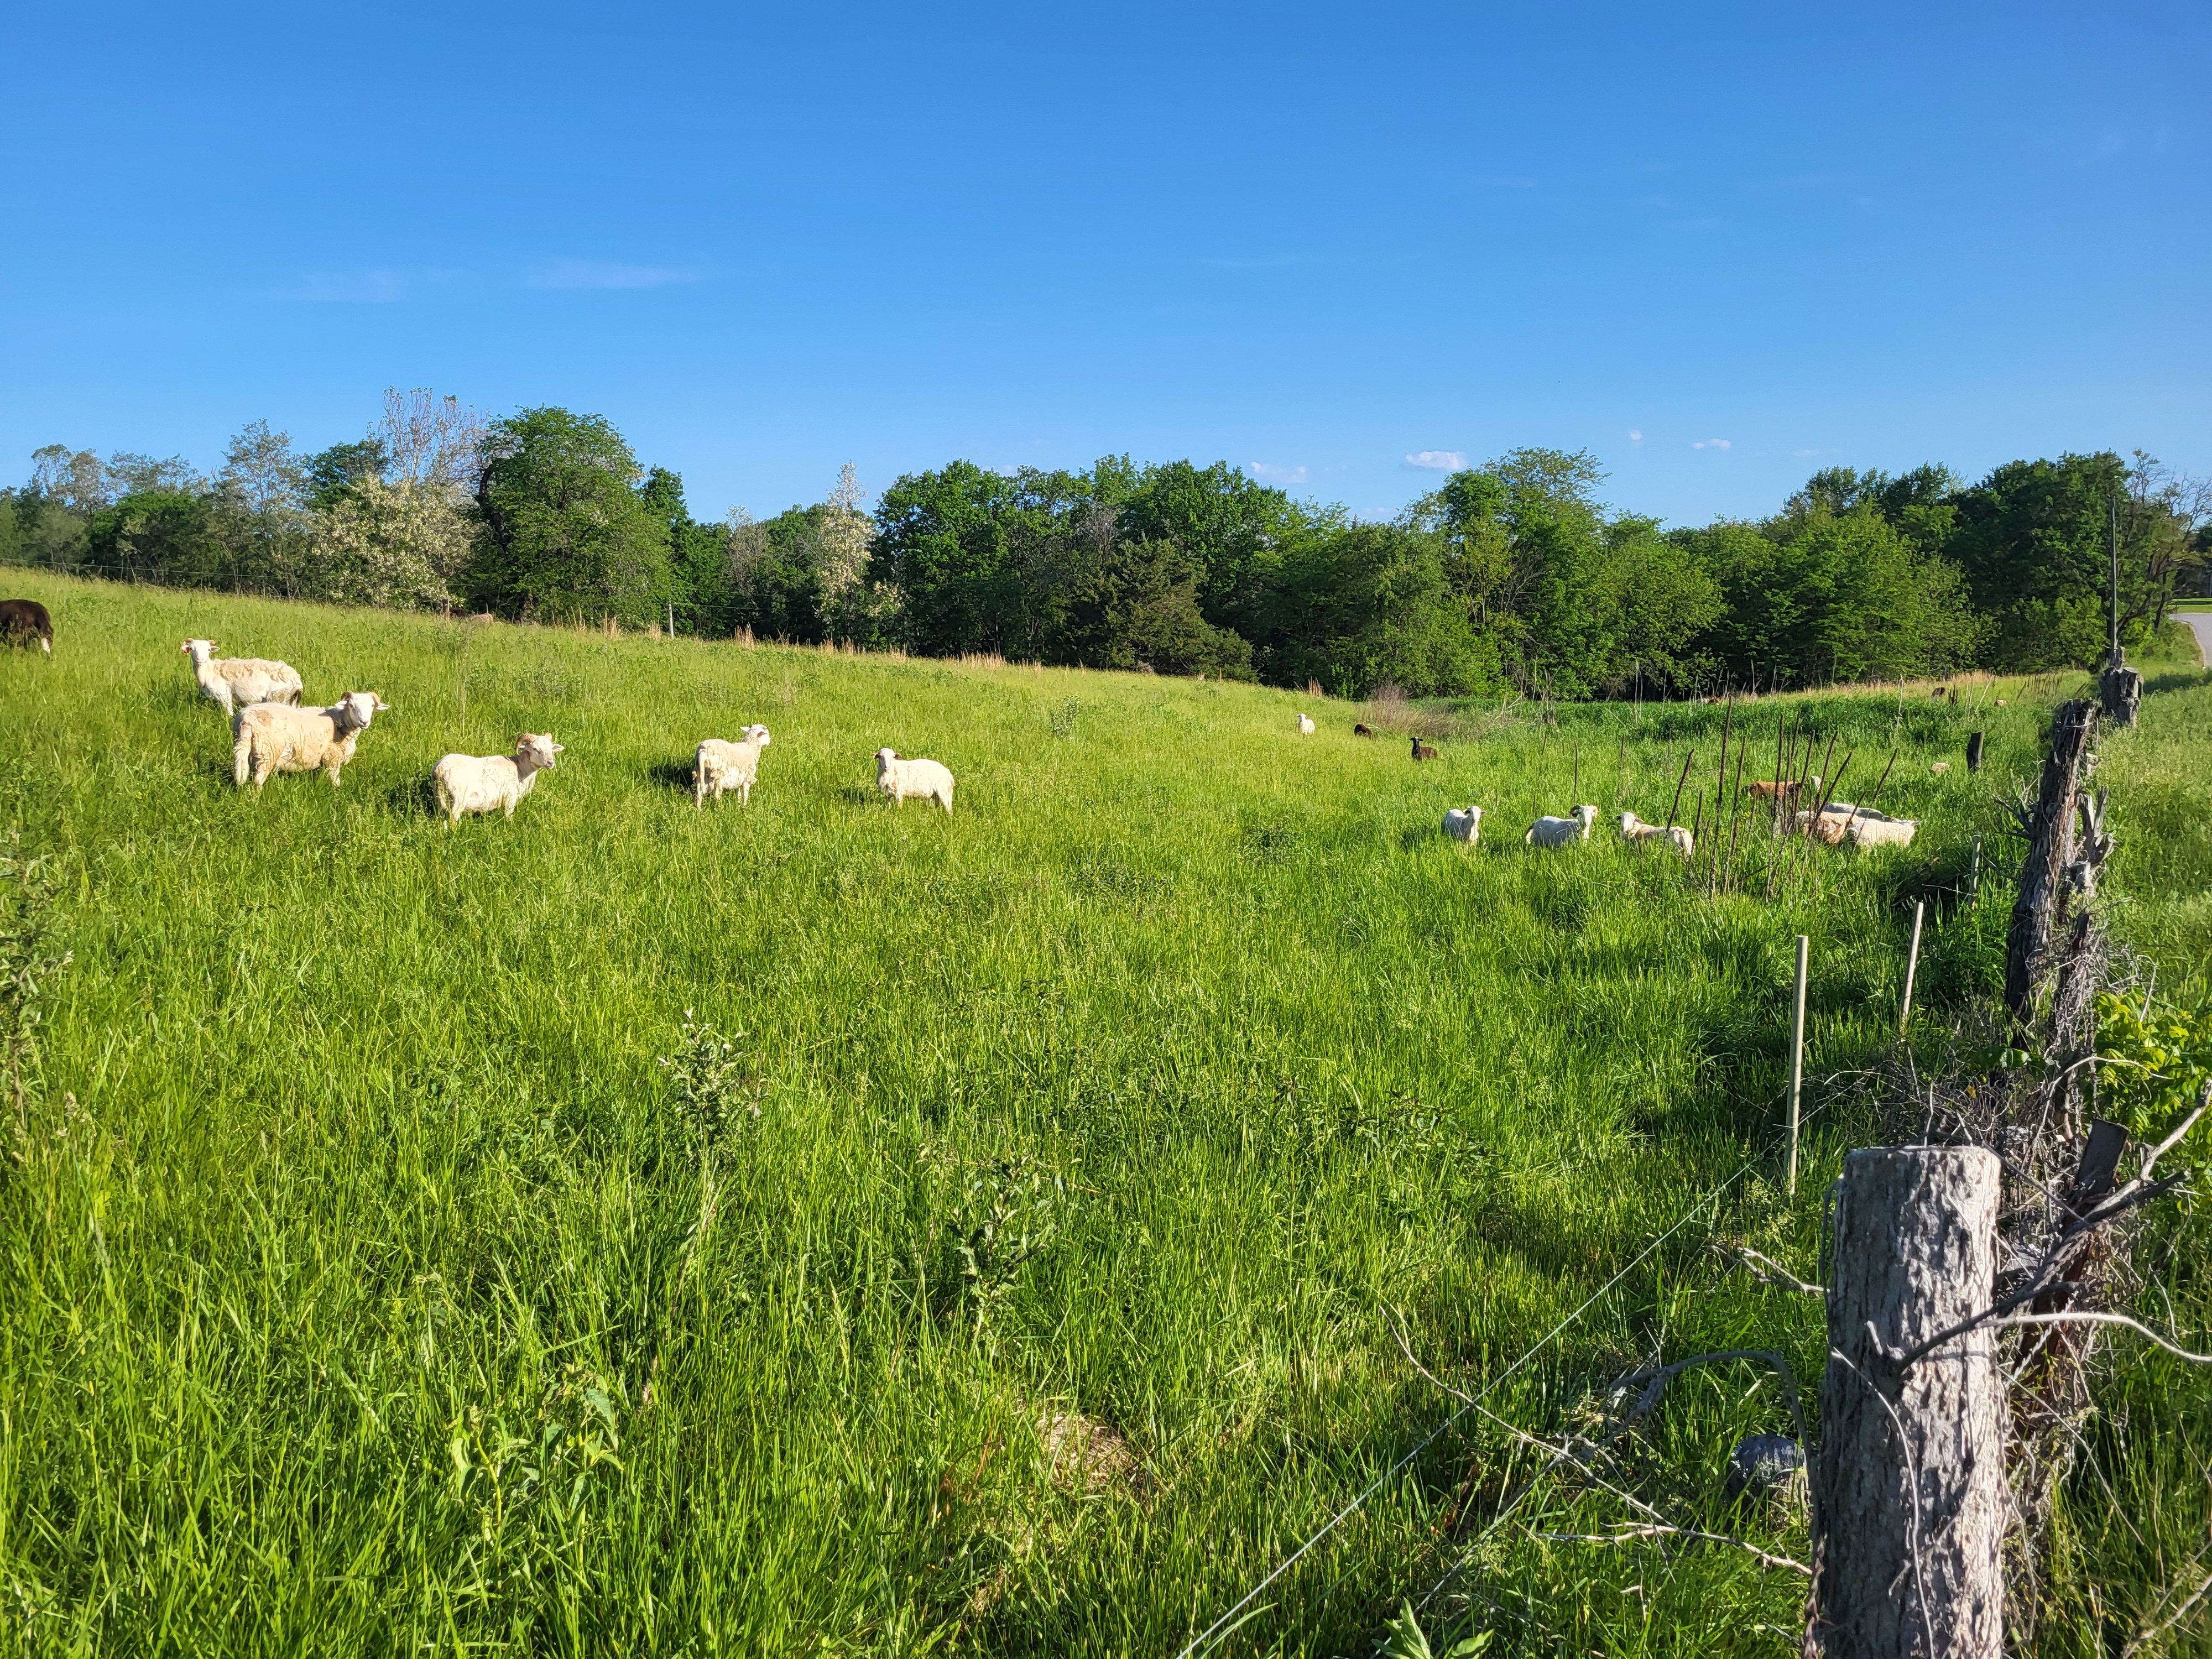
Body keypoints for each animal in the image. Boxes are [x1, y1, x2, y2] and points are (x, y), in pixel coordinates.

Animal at [182, 638, 303, 716]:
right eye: (192, 649)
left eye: (208, 650)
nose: (201, 660)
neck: (209, 671)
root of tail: (296, 679)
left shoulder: (224, 694)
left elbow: (229, 713)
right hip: (292, 699)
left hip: (278, 696)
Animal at [231, 691, 388, 792]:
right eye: (351, 706)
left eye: (372, 706)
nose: (364, 722)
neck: (342, 721)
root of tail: (246, 720)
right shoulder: (333, 757)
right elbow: (335, 782)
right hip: (268, 751)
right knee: (258, 781)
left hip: (245, 748)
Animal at [432, 734, 564, 825]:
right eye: (535, 749)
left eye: (552, 748)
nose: (550, 763)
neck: (520, 768)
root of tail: (440, 770)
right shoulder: (511, 797)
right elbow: (508, 816)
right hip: (458, 798)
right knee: (452, 821)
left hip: (439, 798)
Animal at [695, 724, 771, 808]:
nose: (769, 742)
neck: (750, 747)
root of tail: (704, 750)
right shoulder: (747, 778)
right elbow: (746, 794)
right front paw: (745, 807)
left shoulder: (739, 778)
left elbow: (739, 793)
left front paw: (738, 805)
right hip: (719, 775)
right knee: (717, 795)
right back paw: (720, 808)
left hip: (700, 772)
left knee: (699, 793)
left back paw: (698, 809)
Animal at [875, 748, 955, 815]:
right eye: (881, 757)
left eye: (893, 757)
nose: (887, 767)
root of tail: (948, 773)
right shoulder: (887, 795)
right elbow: (887, 807)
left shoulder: (899, 793)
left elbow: (899, 807)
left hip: (944, 791)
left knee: (949, 809)